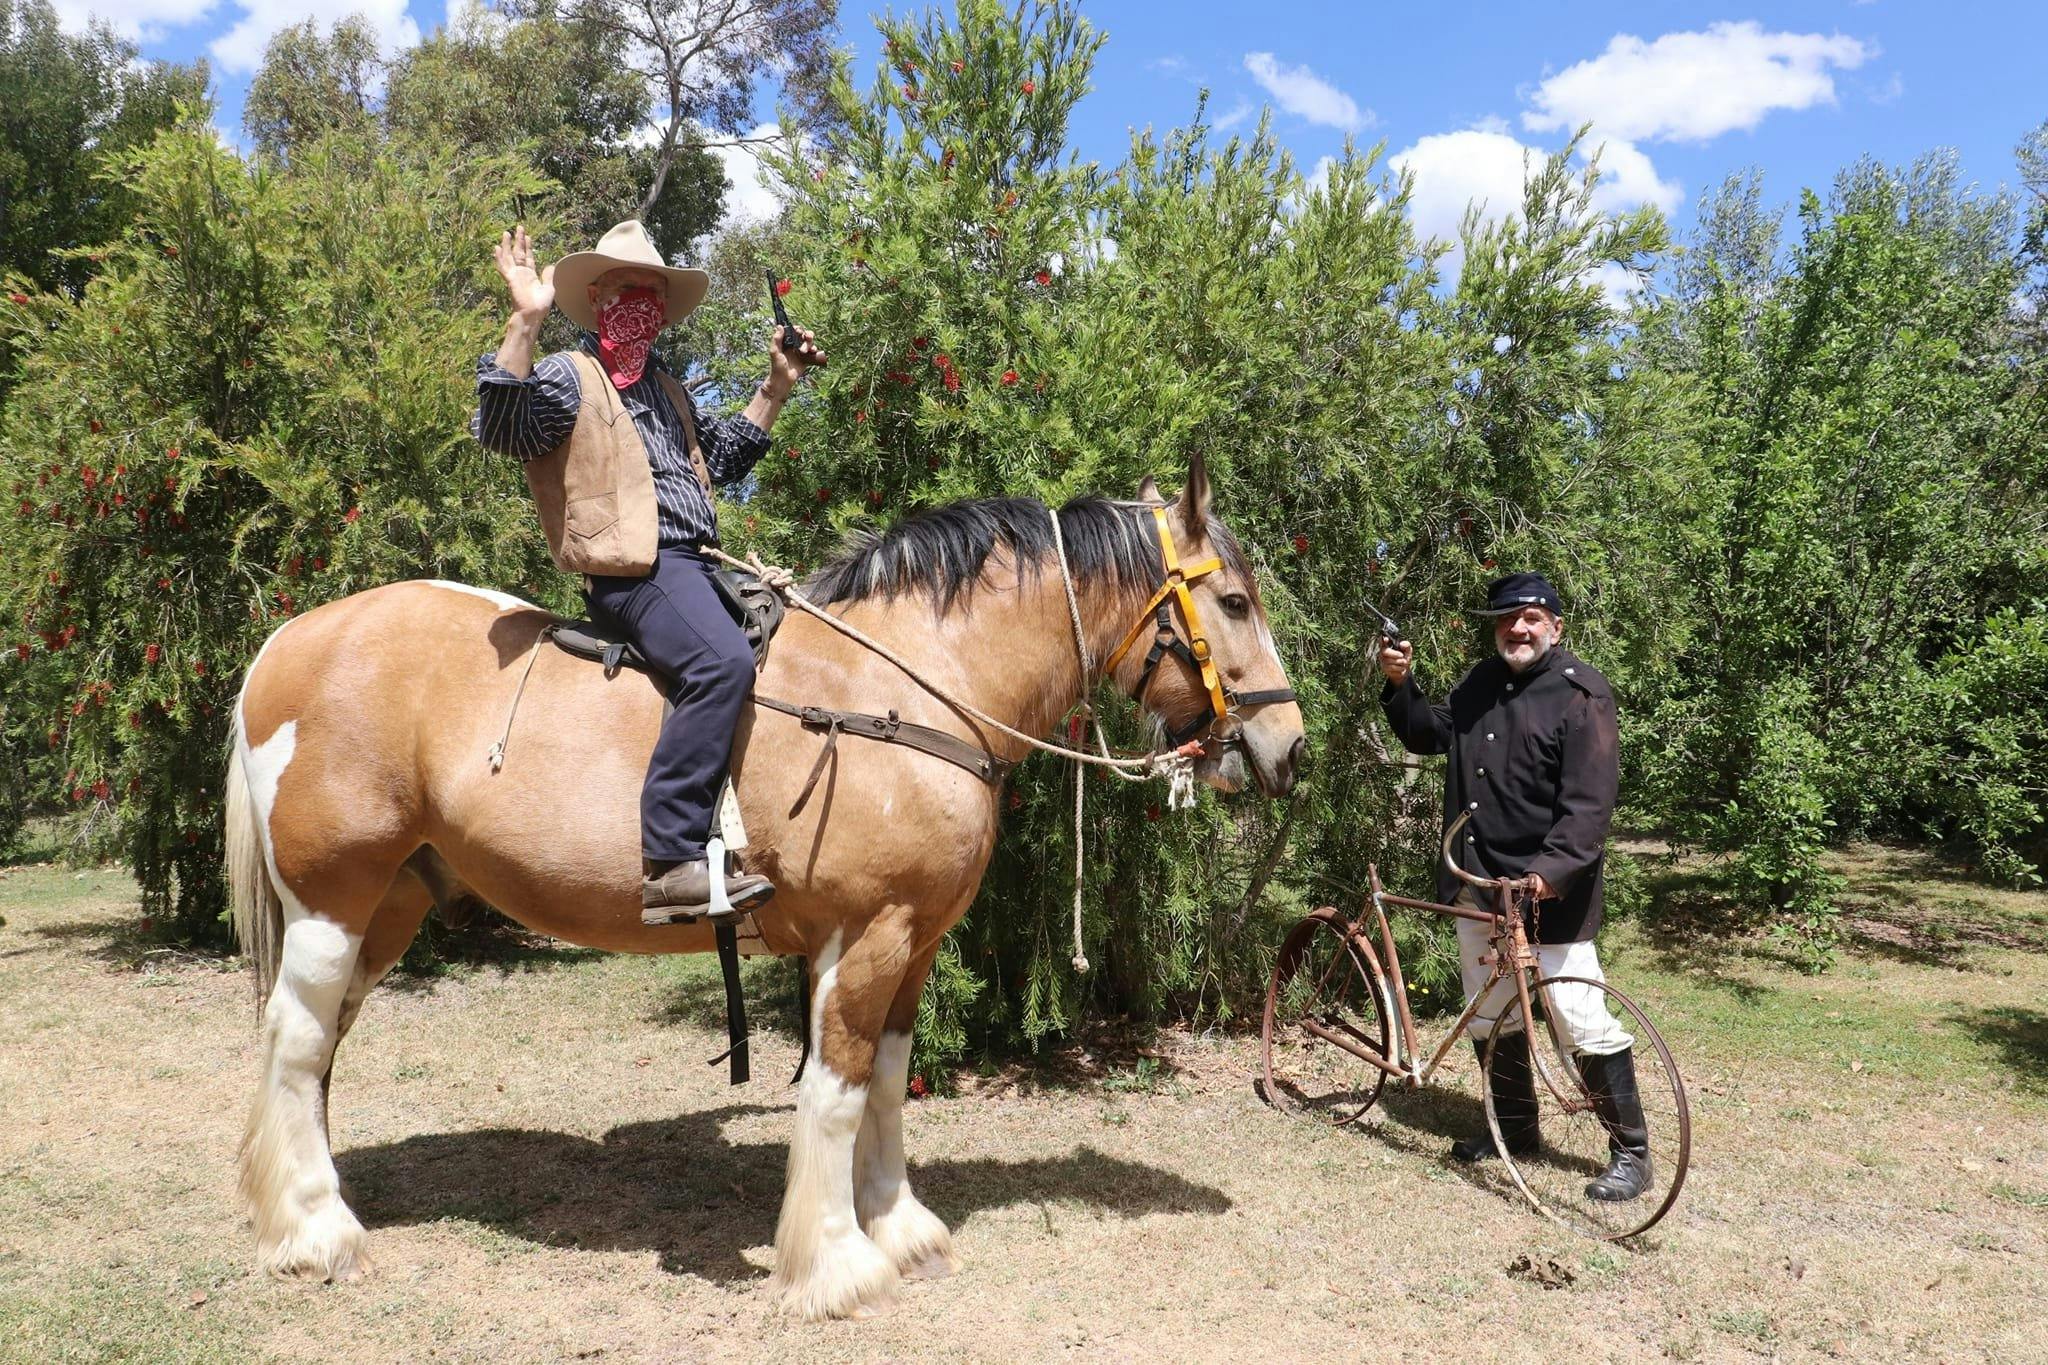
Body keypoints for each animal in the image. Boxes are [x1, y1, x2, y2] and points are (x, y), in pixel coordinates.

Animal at [224, 456, 1304, 1320]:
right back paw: (315, 1228)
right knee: (297, 1041)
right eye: (1235, 603)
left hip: (392, 904)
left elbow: (885, 1082)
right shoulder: (866, 936)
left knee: (314, 1049)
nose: (1288, 746)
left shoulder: (912, 942)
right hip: (335, 899)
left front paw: (897, 1224)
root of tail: (289, 643)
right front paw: (835, 1262)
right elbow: (833, 1092)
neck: (907, 687)